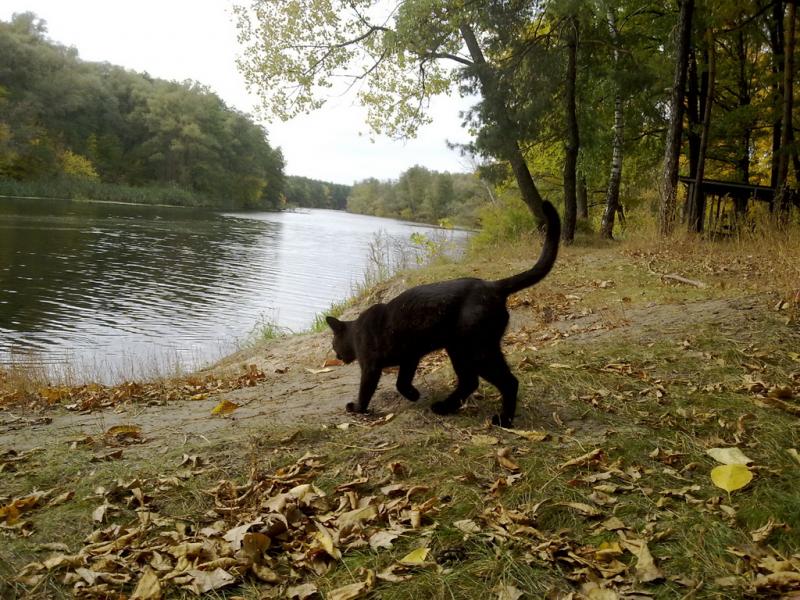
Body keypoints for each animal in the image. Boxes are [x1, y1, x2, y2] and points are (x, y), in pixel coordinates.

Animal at [328, 202, 560, 426]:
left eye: (333, 344)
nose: (336, 356)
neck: (355, 333)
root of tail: (494, 286)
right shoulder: (410, 356)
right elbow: (401, 381)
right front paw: (413, 394)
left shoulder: (371, 367)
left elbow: (366, 391)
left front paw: (357, 408)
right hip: (463, 348)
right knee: (472, 381)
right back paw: (446, 407)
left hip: (474, 349)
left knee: (506, 382)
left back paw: (503, 420)